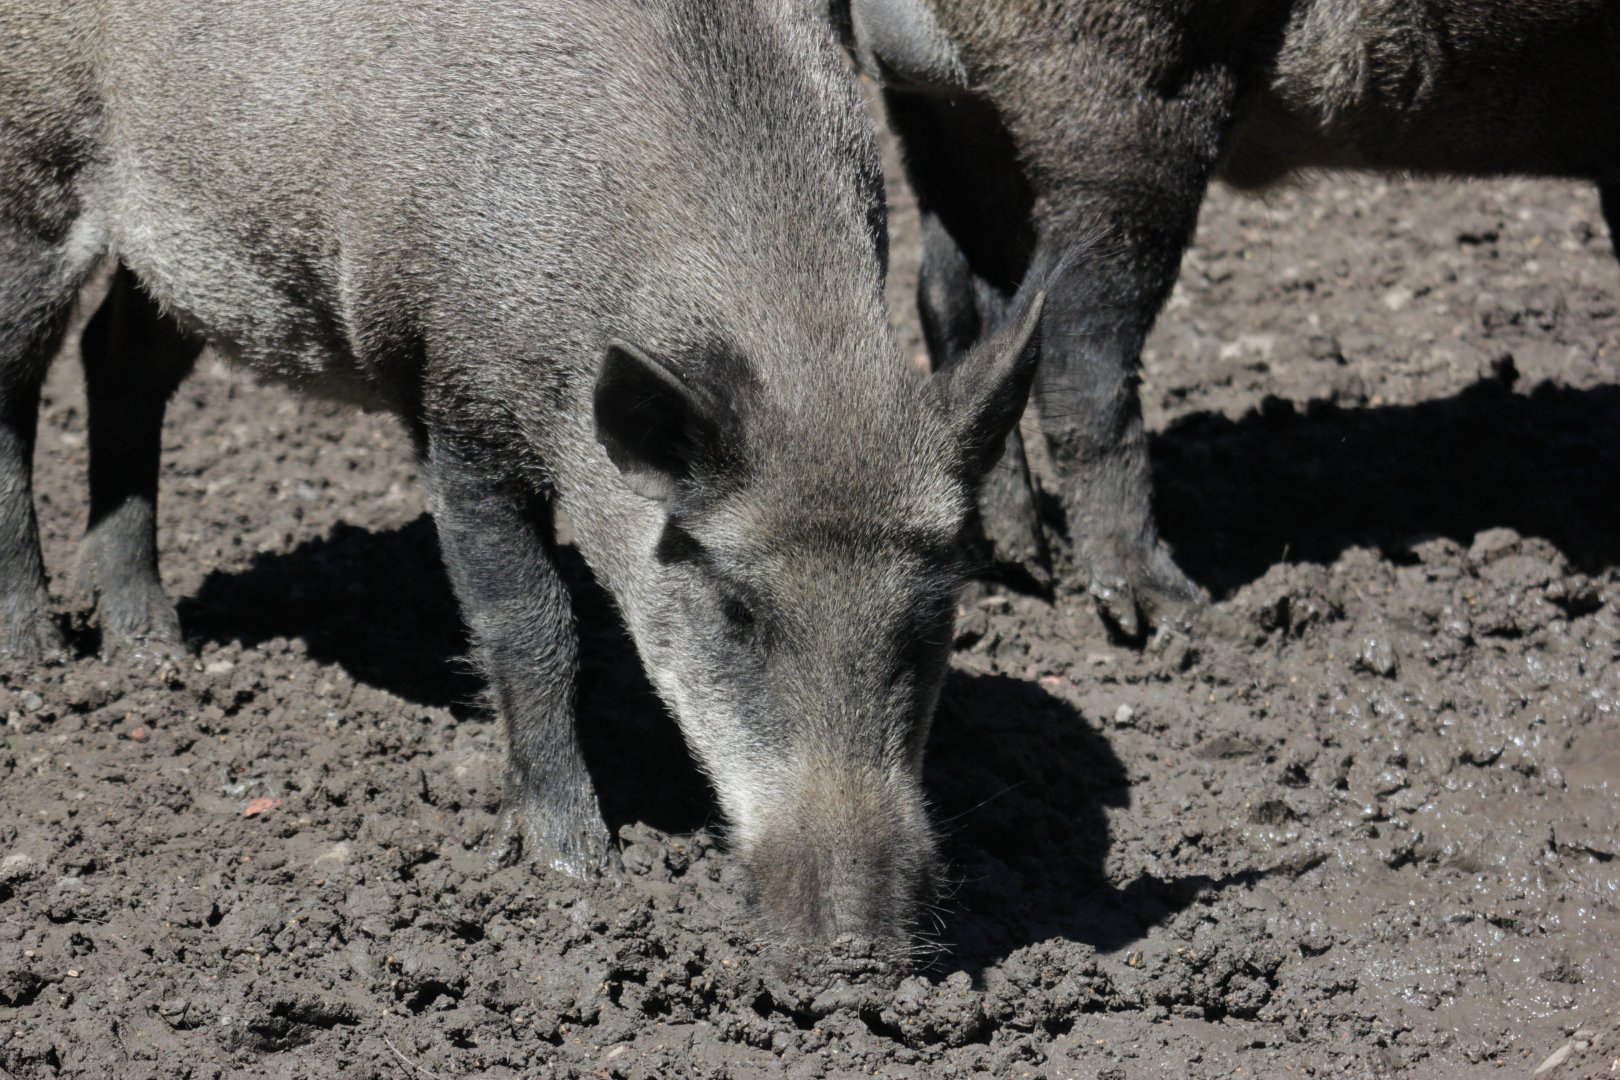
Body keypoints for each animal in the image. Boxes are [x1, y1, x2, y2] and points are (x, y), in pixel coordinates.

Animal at [0, 0, 1046, 956]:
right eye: (736, 610)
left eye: (934, 619)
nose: (859, 952)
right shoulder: (456, 396)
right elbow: (533, 625)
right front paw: (577, 868)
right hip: (33, 171)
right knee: (20, 382)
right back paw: (41, 656)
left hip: (183, 256)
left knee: (119, 360)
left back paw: (150, 650)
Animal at [843, 0, 1620, 635]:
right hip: (1124, 106)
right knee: (1074, 343)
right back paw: (1173, 611)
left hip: (948, 112)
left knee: (954, 298)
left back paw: (1016, 564)